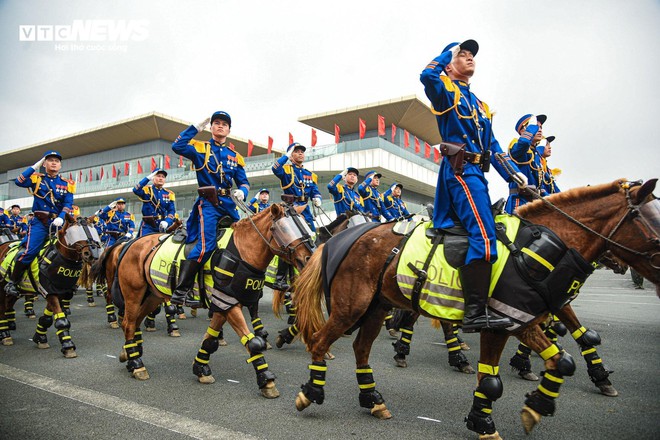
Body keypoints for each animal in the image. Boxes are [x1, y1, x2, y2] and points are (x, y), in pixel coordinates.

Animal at [0, 215, 102, 356]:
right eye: (76, 232)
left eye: (93, 232)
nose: (92, 254)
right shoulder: (48, 290)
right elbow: (61, 319)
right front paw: (68, 345)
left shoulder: (60, 291)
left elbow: (48, 317)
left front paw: (40, 337)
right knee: (2, 307)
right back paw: (5, 333)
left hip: (16, 291)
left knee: (7, 305)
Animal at [90, 203, 314, 398]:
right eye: (285, 229)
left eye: (305, 225)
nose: (308, 259)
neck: (240, 251)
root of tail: (130, 243)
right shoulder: (228, 303)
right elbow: (253, 342)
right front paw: (266, 380)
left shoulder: (225, 304)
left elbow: (211, 338)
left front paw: (201, 367)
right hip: (134, 294)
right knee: (128, 323)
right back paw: (137, 364)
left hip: (152, 295)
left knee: (134, 322)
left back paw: (128, 355)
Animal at [294, 179, 660, 436]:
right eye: (656, 235)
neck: (536, 249)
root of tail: (345, 236)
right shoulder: (508, 322)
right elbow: (502, 378)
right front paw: (492, 421)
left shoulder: (517, 321)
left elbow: (562, 358)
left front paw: (531, 405)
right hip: (350, 307)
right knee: (321, 341)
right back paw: (311, 391)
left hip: (375, 307)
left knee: (361, 348)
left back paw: (372, 399)